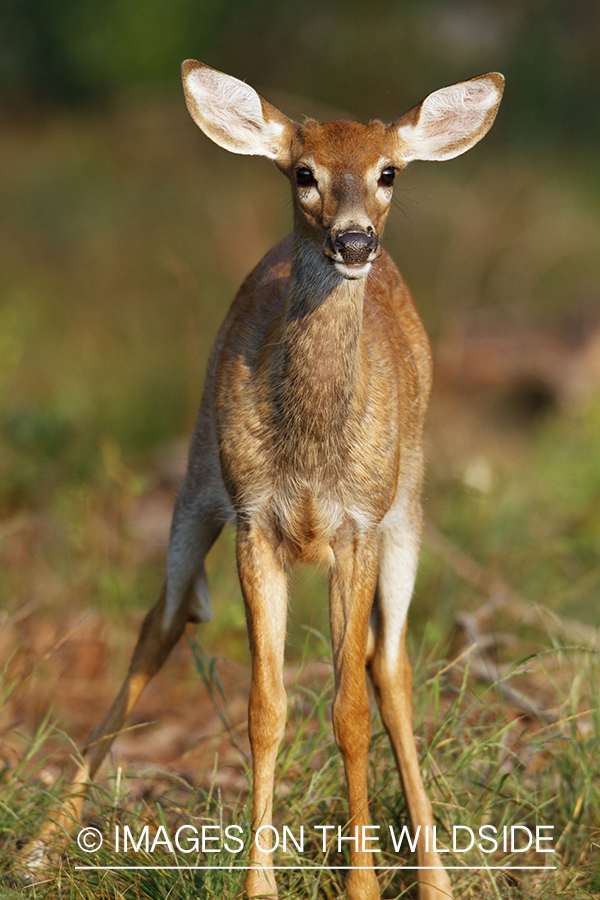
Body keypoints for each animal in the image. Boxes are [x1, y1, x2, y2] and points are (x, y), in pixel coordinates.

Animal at [24, 59, 502, 896]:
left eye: (389, 172)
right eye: (303, 173)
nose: (354, 238)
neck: (310, 456)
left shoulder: (359, 524)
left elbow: (349, 709)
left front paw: (363, 885)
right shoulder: (253, 519)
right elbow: (266, 707)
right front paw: (259, 884)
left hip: (407, 508)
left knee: (391, 665)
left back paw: (437, 879)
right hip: (194, 482)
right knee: (159, 623)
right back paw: (39, 847)